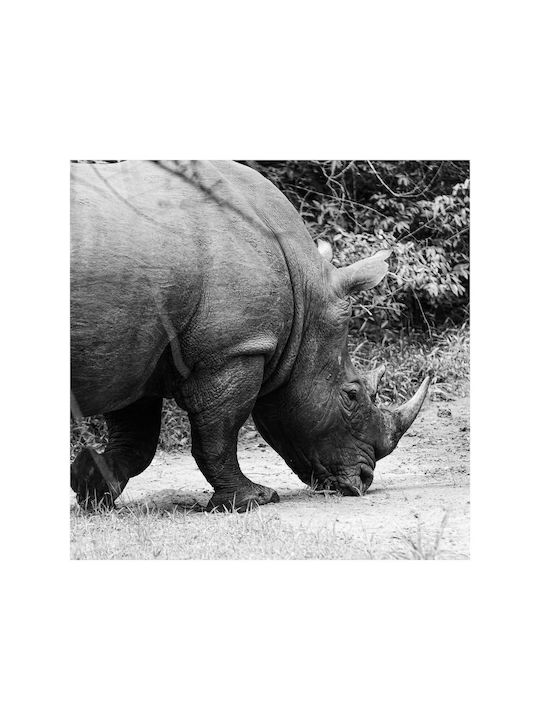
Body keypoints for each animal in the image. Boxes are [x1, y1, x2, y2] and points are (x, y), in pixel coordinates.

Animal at [70, 160, 431, 511]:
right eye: (351, 395)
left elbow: (136, 439)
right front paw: (253, 499)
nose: (364, 480)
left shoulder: (136, 353)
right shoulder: (234, 349)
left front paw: (92, 484)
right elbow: (218, 433)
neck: (304, 293)